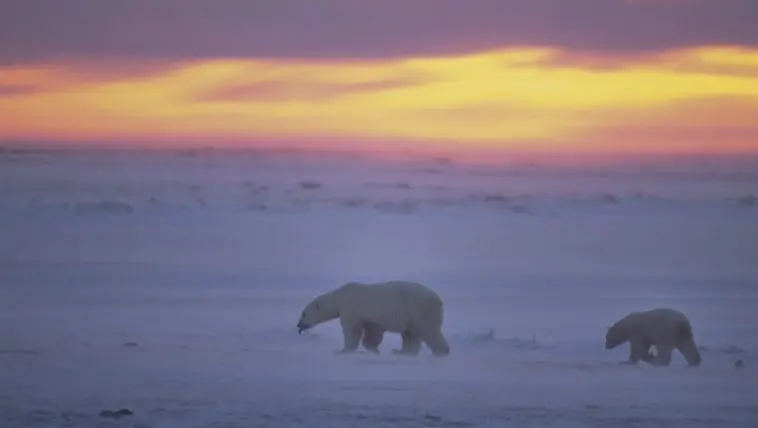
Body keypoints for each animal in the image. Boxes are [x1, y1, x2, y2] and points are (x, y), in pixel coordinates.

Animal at [296, 280, 450, 357]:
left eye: (304, 314)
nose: (298, 325)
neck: (339, 297)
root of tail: (439, 300)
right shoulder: (369, 317)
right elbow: (373, 331)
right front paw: (374, 349)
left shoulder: (351, 309)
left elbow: (352, 331)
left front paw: (343, 351)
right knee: (409, 334)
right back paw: (401, 352)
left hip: (419, 310)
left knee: (427, 331)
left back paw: (441, 352)